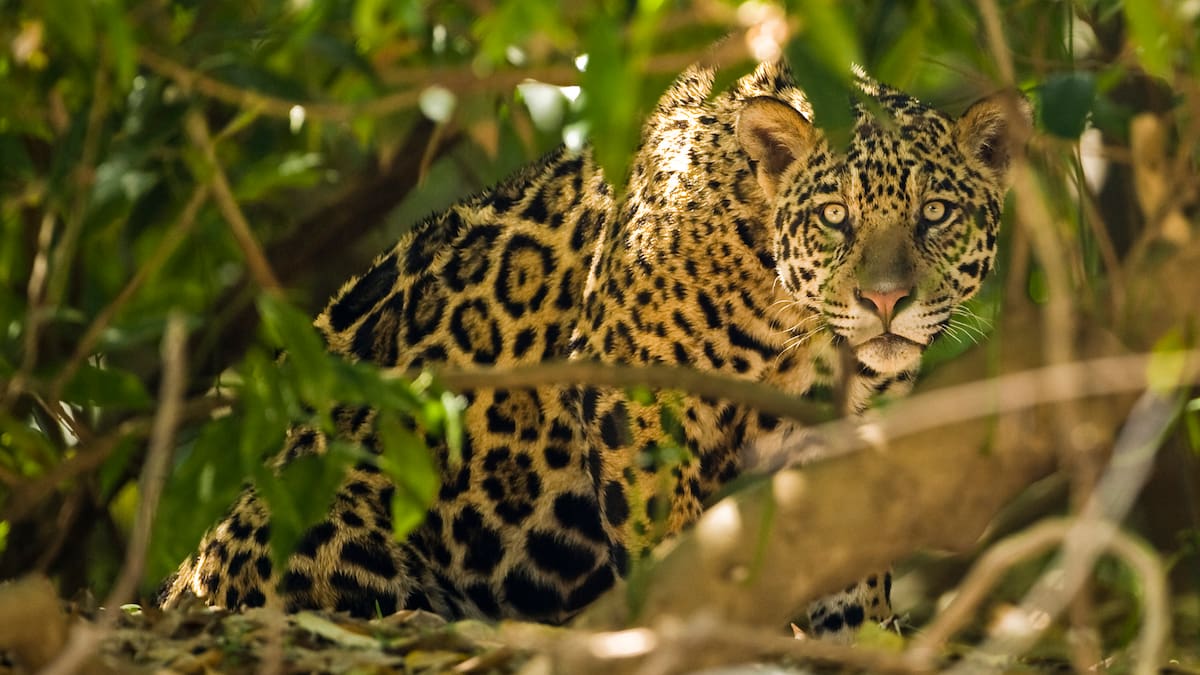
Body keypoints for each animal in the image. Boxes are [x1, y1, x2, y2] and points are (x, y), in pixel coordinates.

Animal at [160, 59, 1029, 640]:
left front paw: (862, 634)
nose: (886, 302)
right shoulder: (638, 390)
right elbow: (669, 535)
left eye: (937, 212)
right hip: (319, 505)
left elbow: (852, 556)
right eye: (836, 217)